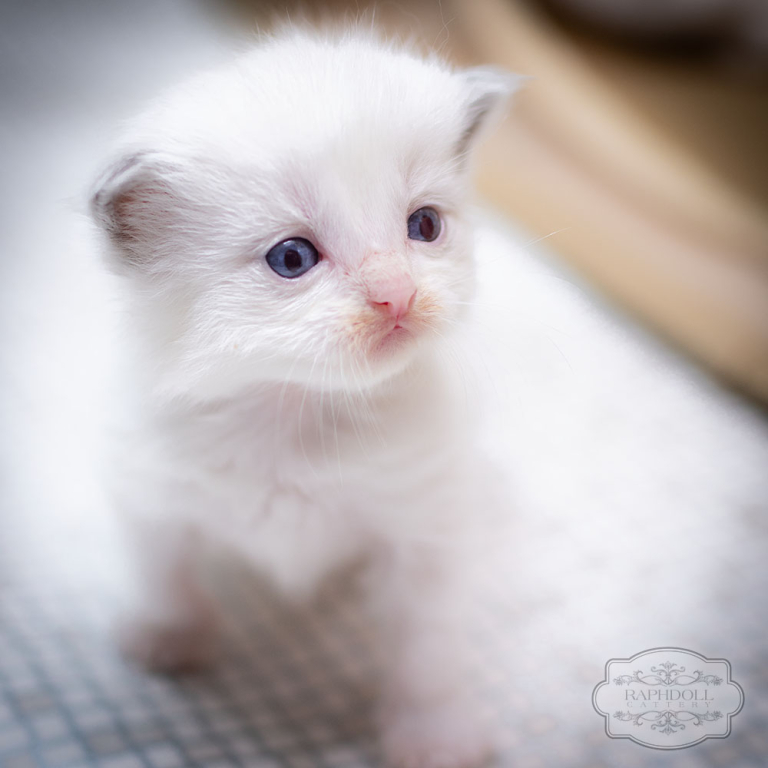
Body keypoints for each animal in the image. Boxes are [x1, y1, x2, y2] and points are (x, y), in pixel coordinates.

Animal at [91, 28, 516, 768]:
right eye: (292, 258)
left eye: (424, 225)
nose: (398, 294)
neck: (294, 409)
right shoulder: (152, 489)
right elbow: (164, 572)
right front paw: (170, 638)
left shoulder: (425, 524)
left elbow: (428, 645)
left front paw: (434, 733)